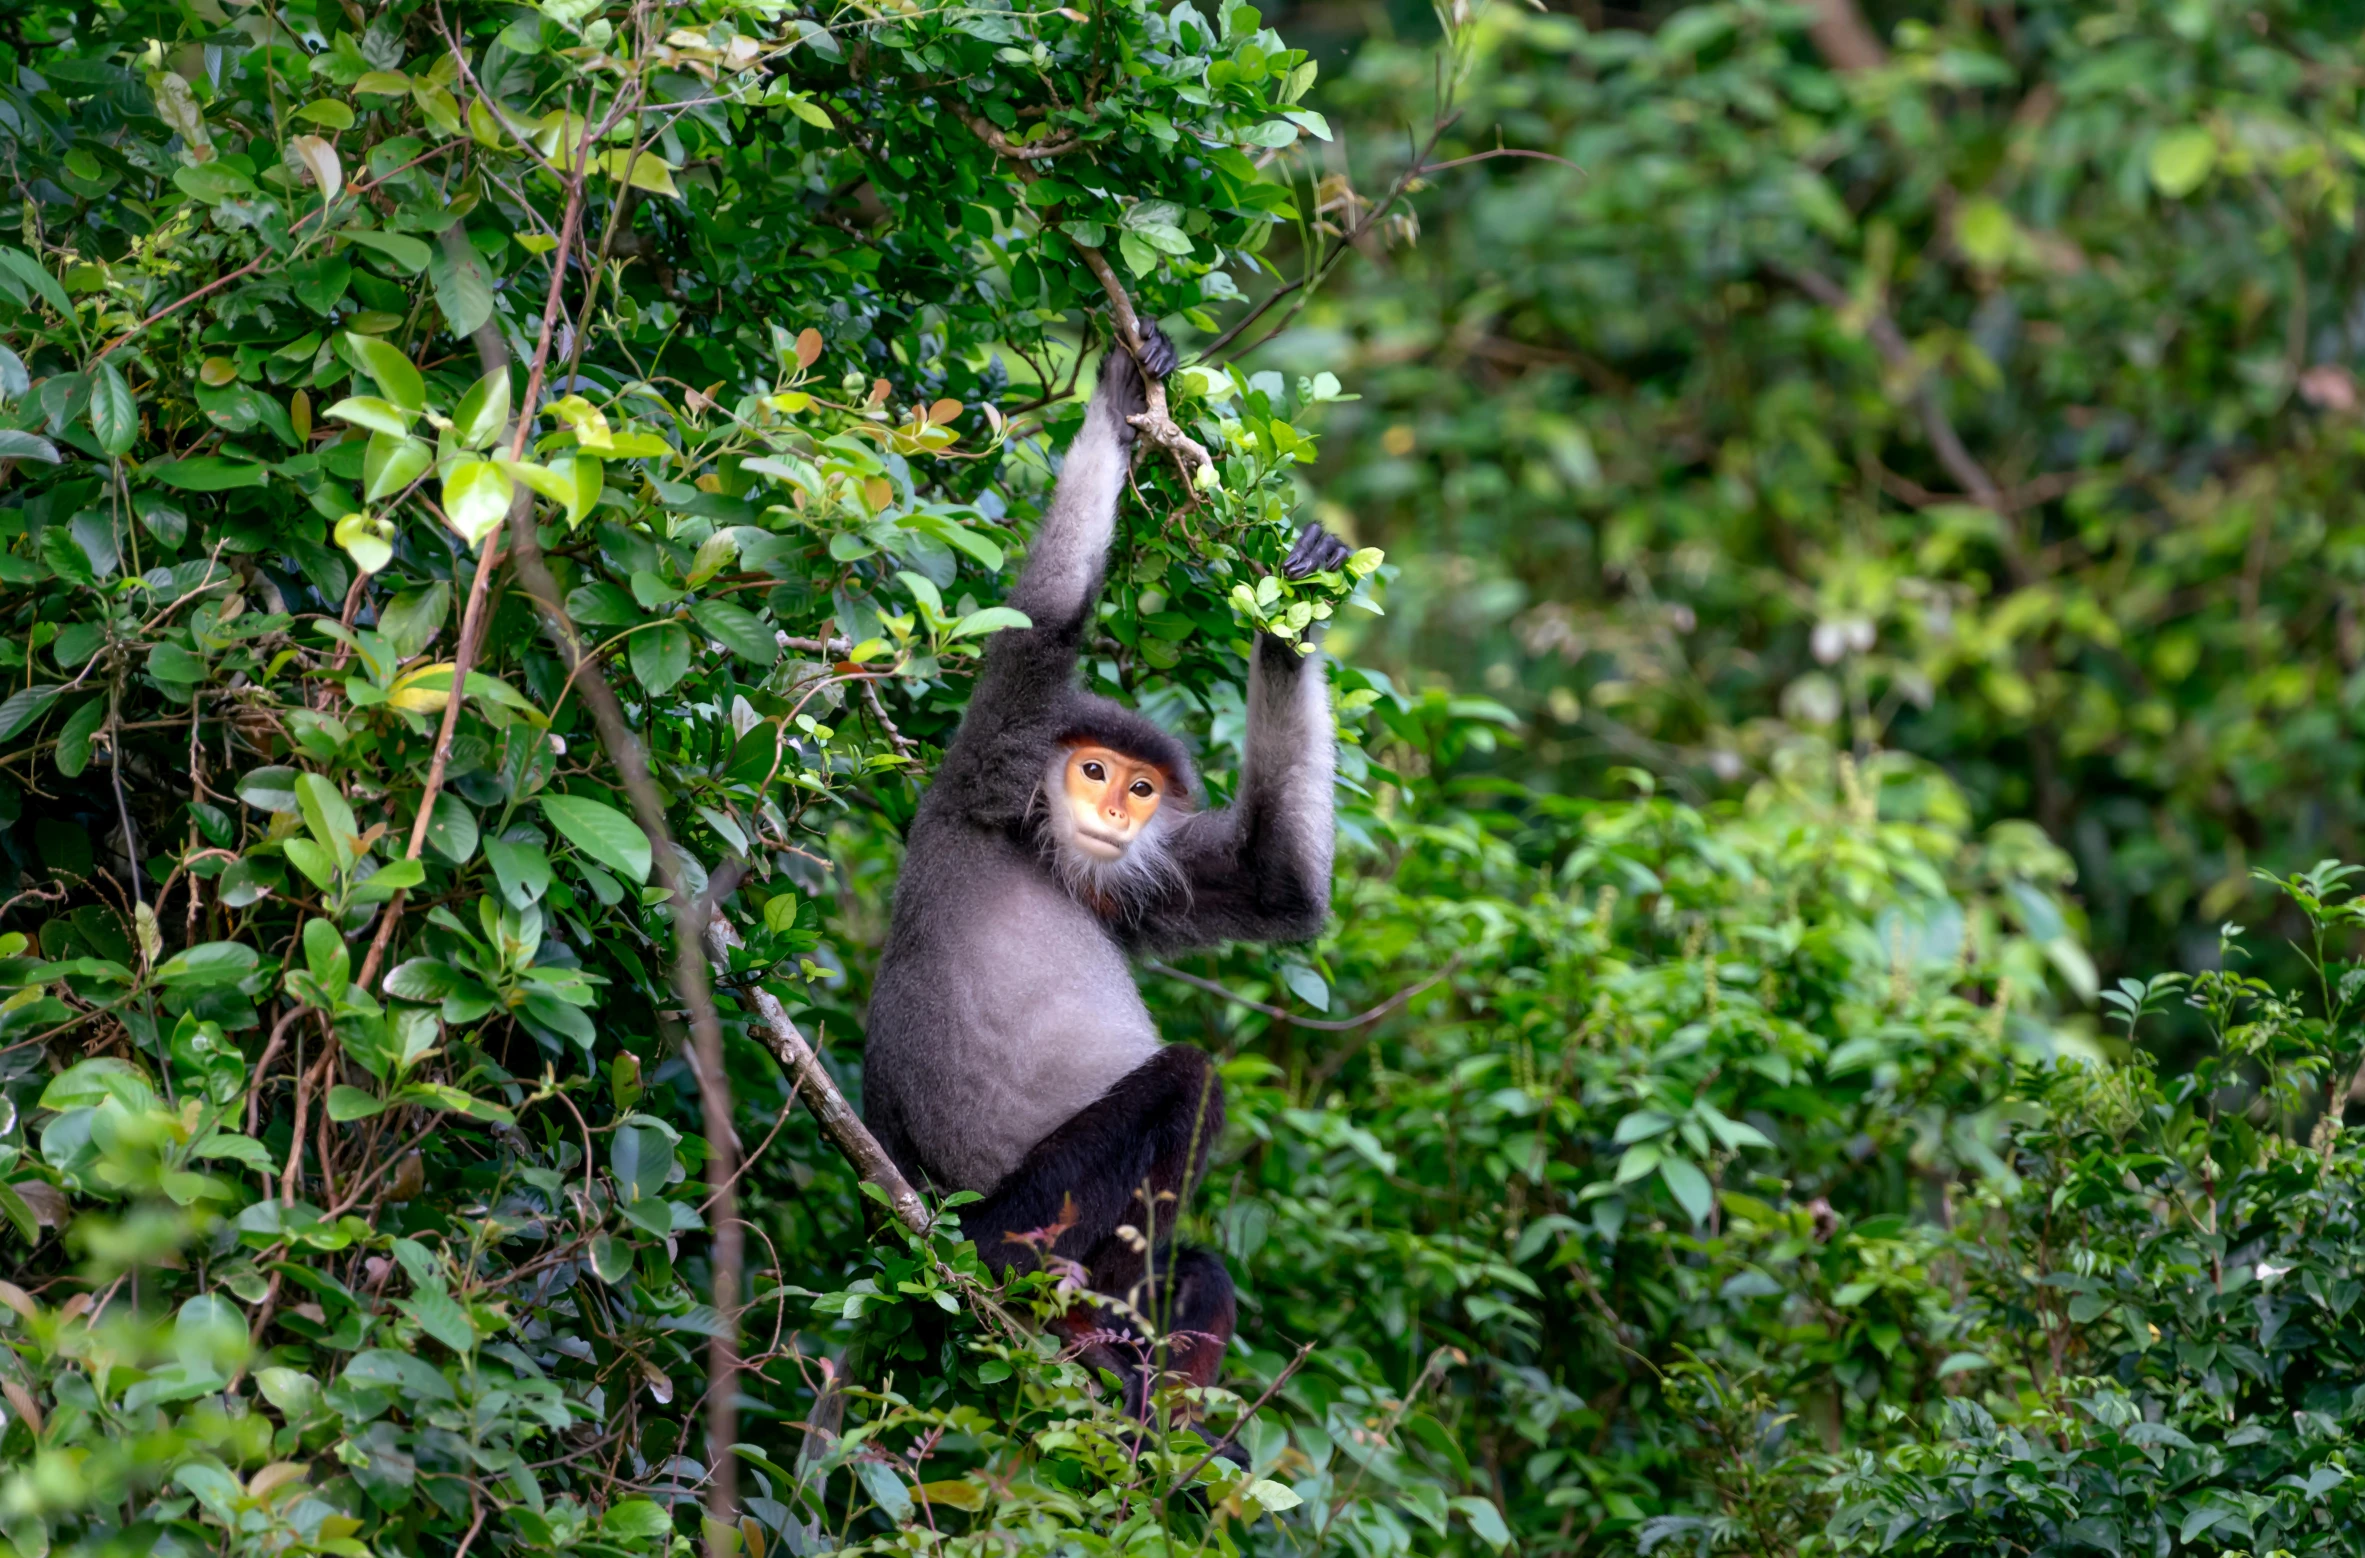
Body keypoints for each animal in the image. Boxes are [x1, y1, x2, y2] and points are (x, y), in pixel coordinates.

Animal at [865, 326, 1352, 1418]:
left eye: (1136, 788)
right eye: (1090, 771)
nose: (1110, 812)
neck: (1036, 841)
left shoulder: (1129, 878)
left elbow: (1275, 884)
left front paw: (1293, 612)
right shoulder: (990, 763)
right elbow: (1042, 623)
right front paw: (1122, 387)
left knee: (1198, 1262)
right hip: (1011, 1208)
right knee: (1184, 1080)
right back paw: (1040, 1295)